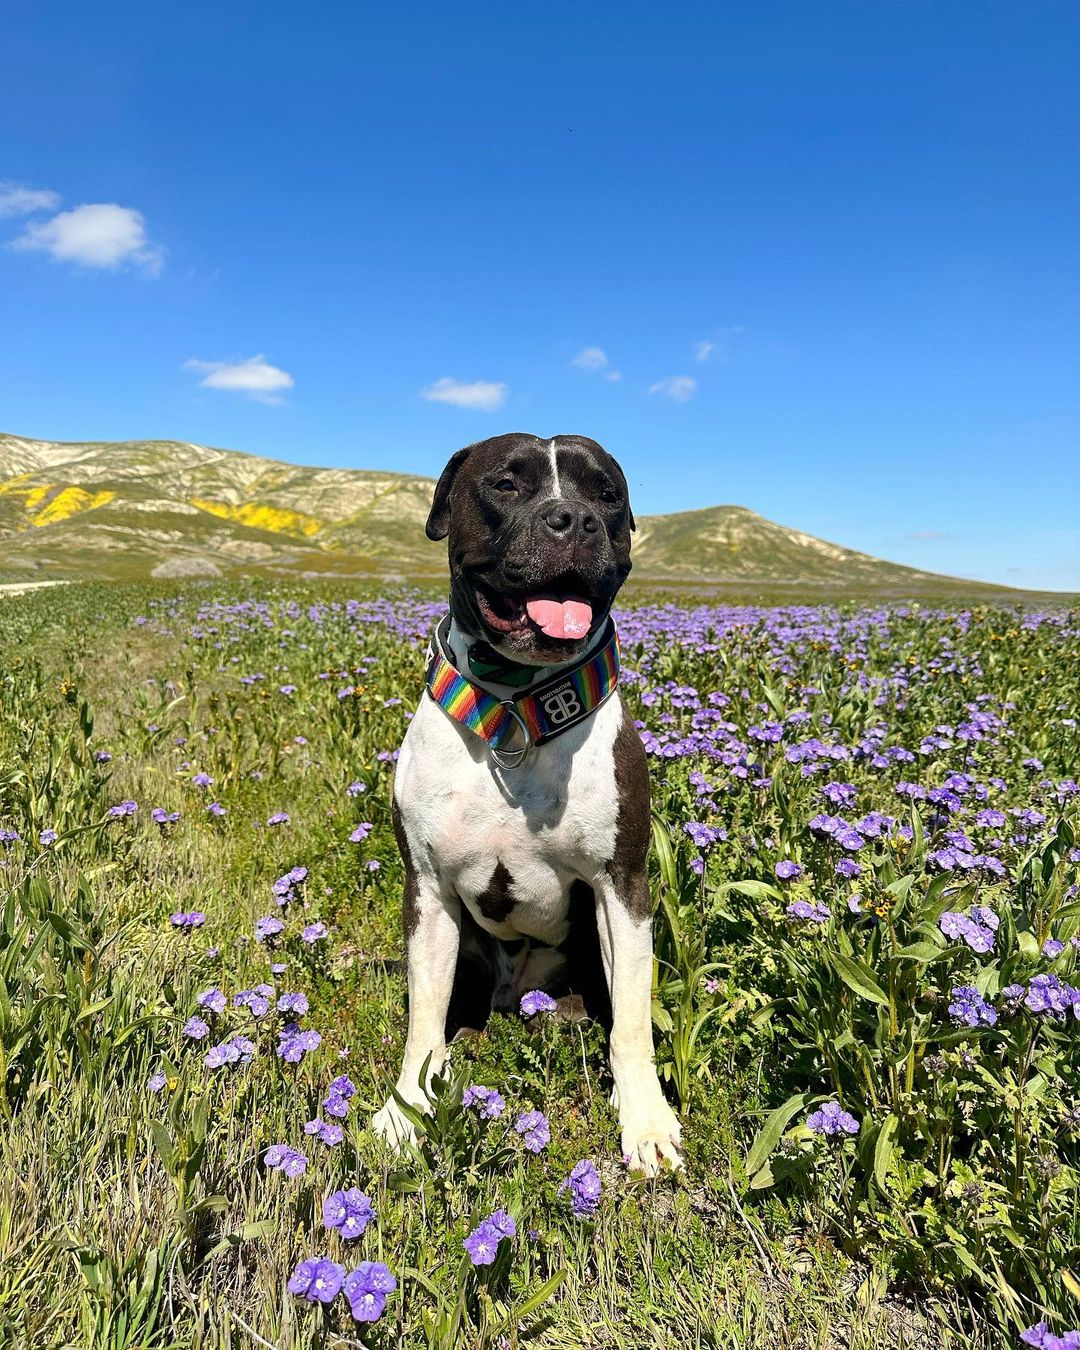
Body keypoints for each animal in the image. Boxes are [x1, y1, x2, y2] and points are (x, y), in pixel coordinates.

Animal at [369, 429, 675, 1171]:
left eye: (606, 493)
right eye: (506, 485)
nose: (574, 519)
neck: (517, 712)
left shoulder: (622, 886)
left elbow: (631, 1023)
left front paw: (646, 1121)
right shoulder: (427, 891)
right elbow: (423, 1017)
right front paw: (407, 1108)